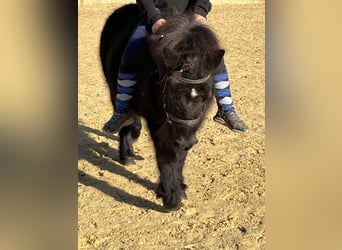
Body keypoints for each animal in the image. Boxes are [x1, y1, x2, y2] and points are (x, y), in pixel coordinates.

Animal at [99, 4, 224, 211]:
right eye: (173, 94)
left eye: (206, 96)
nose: (185, 142)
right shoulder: (160, 121)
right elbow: (167, 155)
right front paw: (171, 197)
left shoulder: (189, 126)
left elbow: (180, 157)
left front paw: (179, 187)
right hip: (113, 88)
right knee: (127, 115)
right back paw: (126, 153)